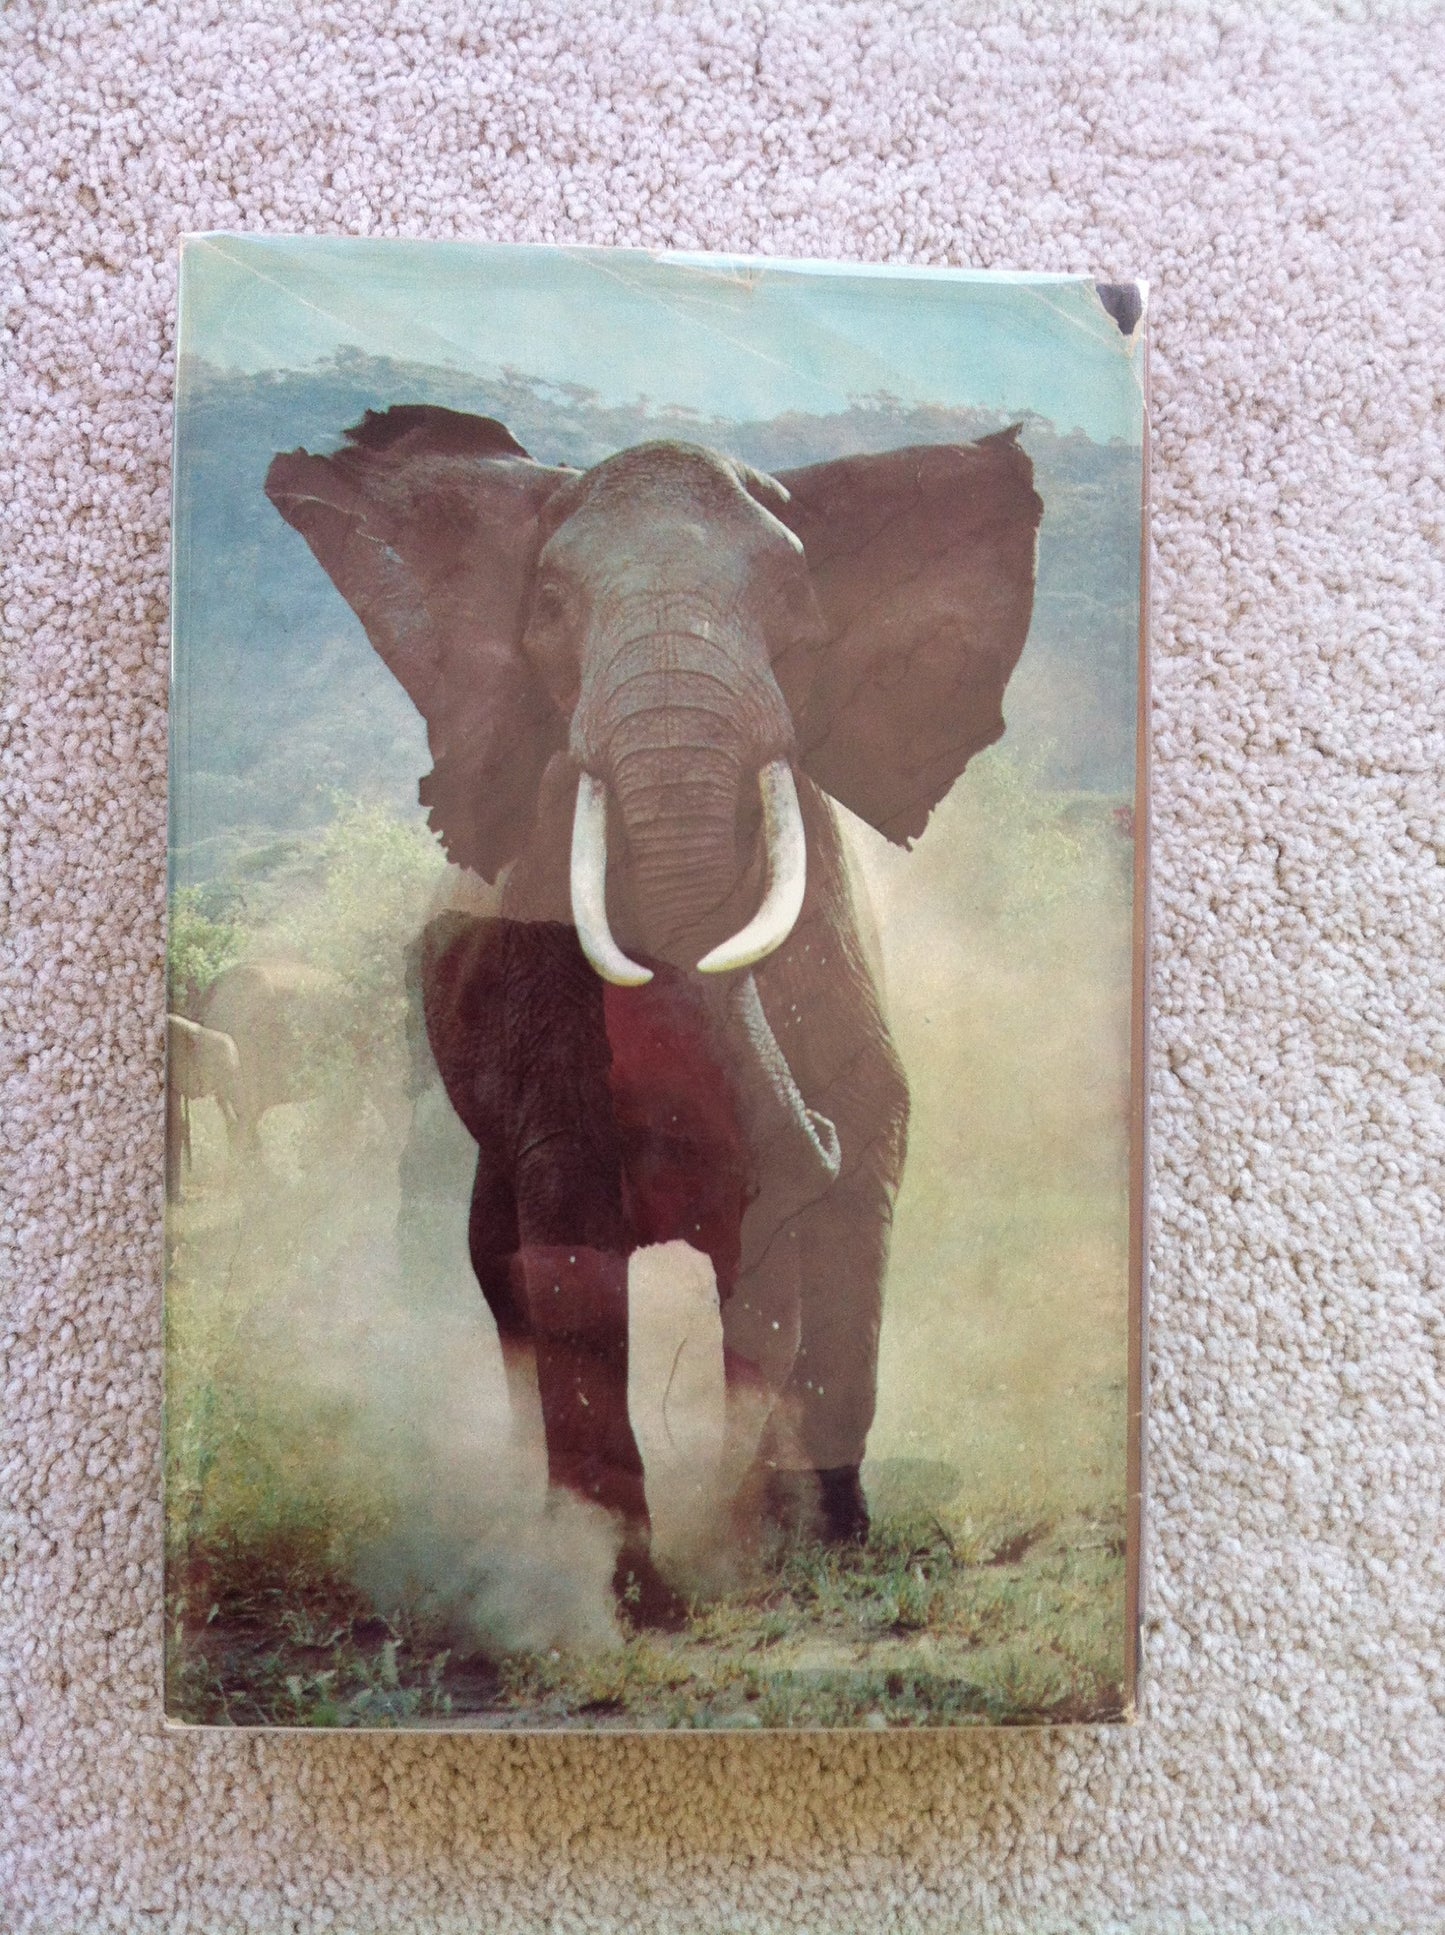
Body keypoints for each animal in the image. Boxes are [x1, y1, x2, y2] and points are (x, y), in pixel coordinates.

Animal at [266, 407, 1041, 1620]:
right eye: (547, 605)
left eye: (793, 591)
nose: (806, 1130)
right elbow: (568, 1225)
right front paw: (627, 1593)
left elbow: (857, 1172)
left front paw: (810, 1541)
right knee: (498, 1265)